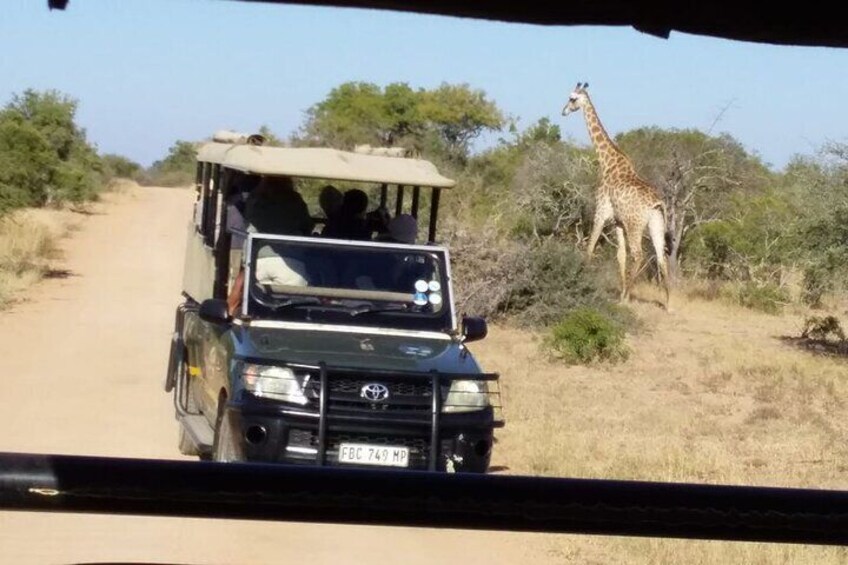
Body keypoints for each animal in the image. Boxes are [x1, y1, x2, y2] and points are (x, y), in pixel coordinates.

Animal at [561, 82, 671, 309]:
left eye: (572, 98)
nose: (563, 111)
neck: (607, 162)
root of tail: (657, 203)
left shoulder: (602, 212)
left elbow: (590, 247)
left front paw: (581, 281)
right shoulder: (618, 222)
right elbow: (620, 255)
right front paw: (620, 293)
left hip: (635, 224)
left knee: (638, 254)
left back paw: (629, 297)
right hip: (656, 223)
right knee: (661, 257)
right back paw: (668, 304)